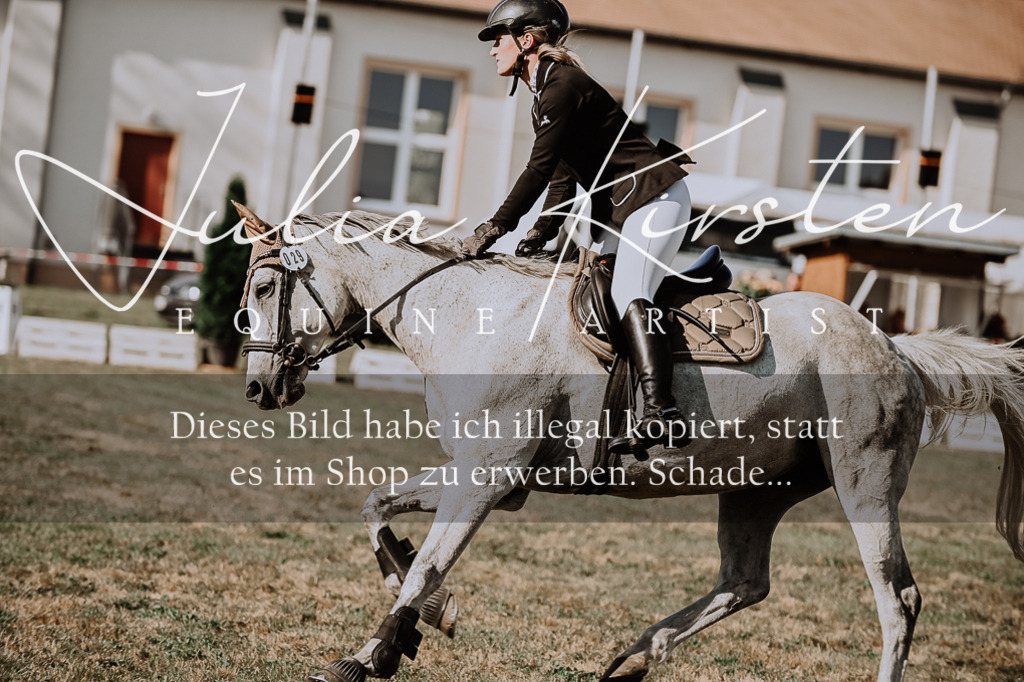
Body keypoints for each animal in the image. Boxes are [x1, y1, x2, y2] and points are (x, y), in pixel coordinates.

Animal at [234, 204, 1024, 682]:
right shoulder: (482, 476)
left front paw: (371, 653)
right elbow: (380, 514)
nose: (258, 388)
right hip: (755, 489)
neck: (468, 314)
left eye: (267, 288)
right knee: (745, 582)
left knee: (898, 599)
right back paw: (635, 657)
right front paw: (425, 619)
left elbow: (427, 565)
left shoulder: (489, 479)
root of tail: (895, 347)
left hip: (866, 484)